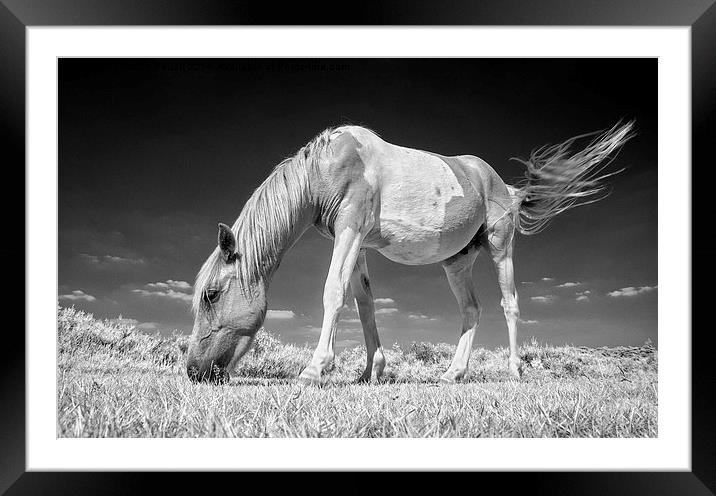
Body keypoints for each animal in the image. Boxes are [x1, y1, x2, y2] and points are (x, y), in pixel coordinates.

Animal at [187, 122, 636, 386]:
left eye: (211, 295)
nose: (193, 371)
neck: (328, 167)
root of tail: (504, 185)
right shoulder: (357, 243)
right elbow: (364, 304)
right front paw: (371, 371)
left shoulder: (350, 231)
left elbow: (333, 293)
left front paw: (315, 369)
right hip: (457, 261)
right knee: (472, 310)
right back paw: (454, 373)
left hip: (500, 246)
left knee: (509, 305)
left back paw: (513, 370)